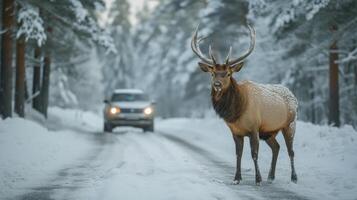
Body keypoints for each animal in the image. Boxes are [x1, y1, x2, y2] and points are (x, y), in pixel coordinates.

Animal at [191, 25, 296, 186]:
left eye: (228, 73)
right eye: (212, 73)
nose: (217, 84)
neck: (236, 112)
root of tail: (293, 95)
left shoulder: (254, 128)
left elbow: (254, 153)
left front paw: (258, 179)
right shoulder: (236, 131)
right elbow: (238, 154)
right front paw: (236, 178)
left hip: (290, 124)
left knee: (291, 151)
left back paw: (294, 177)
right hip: (268, 132)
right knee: (276, 147)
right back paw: (271, 176)